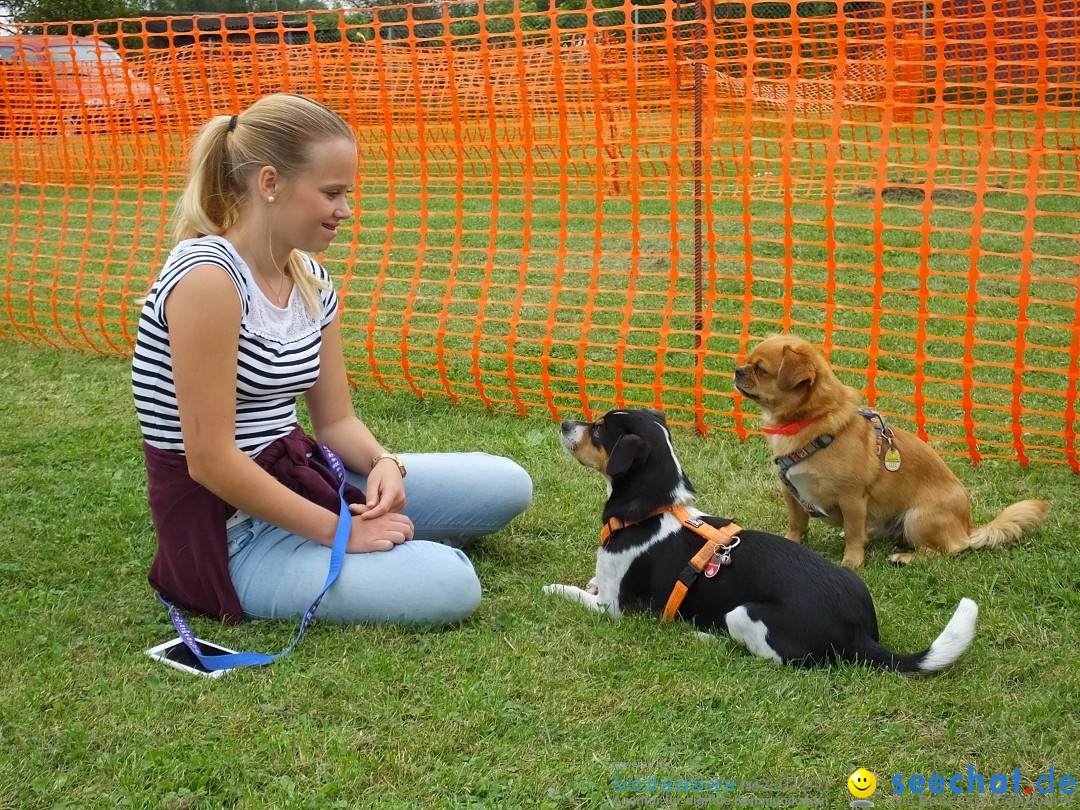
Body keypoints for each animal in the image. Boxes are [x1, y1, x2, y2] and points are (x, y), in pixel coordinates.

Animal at [544, 408, 976, 673]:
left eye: (599, 429)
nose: (564, 424)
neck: (657, 509)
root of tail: (859, 635)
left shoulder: (612, 608)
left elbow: (572, 592)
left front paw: (553, 589)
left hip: (742, 613)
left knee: (770, 659)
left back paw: (706, 637)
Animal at [734, 332, 1045, 565]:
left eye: (760, 370)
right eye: (747, 362)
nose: (738, 370)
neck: (811, 420)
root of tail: (967, 528)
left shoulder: (852, 498)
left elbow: (853, 535)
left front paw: (851, 562)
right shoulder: (791, 492)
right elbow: (797, 525)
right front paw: (788, 545)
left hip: (918, 518)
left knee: (945, 551)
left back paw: (904, 557)